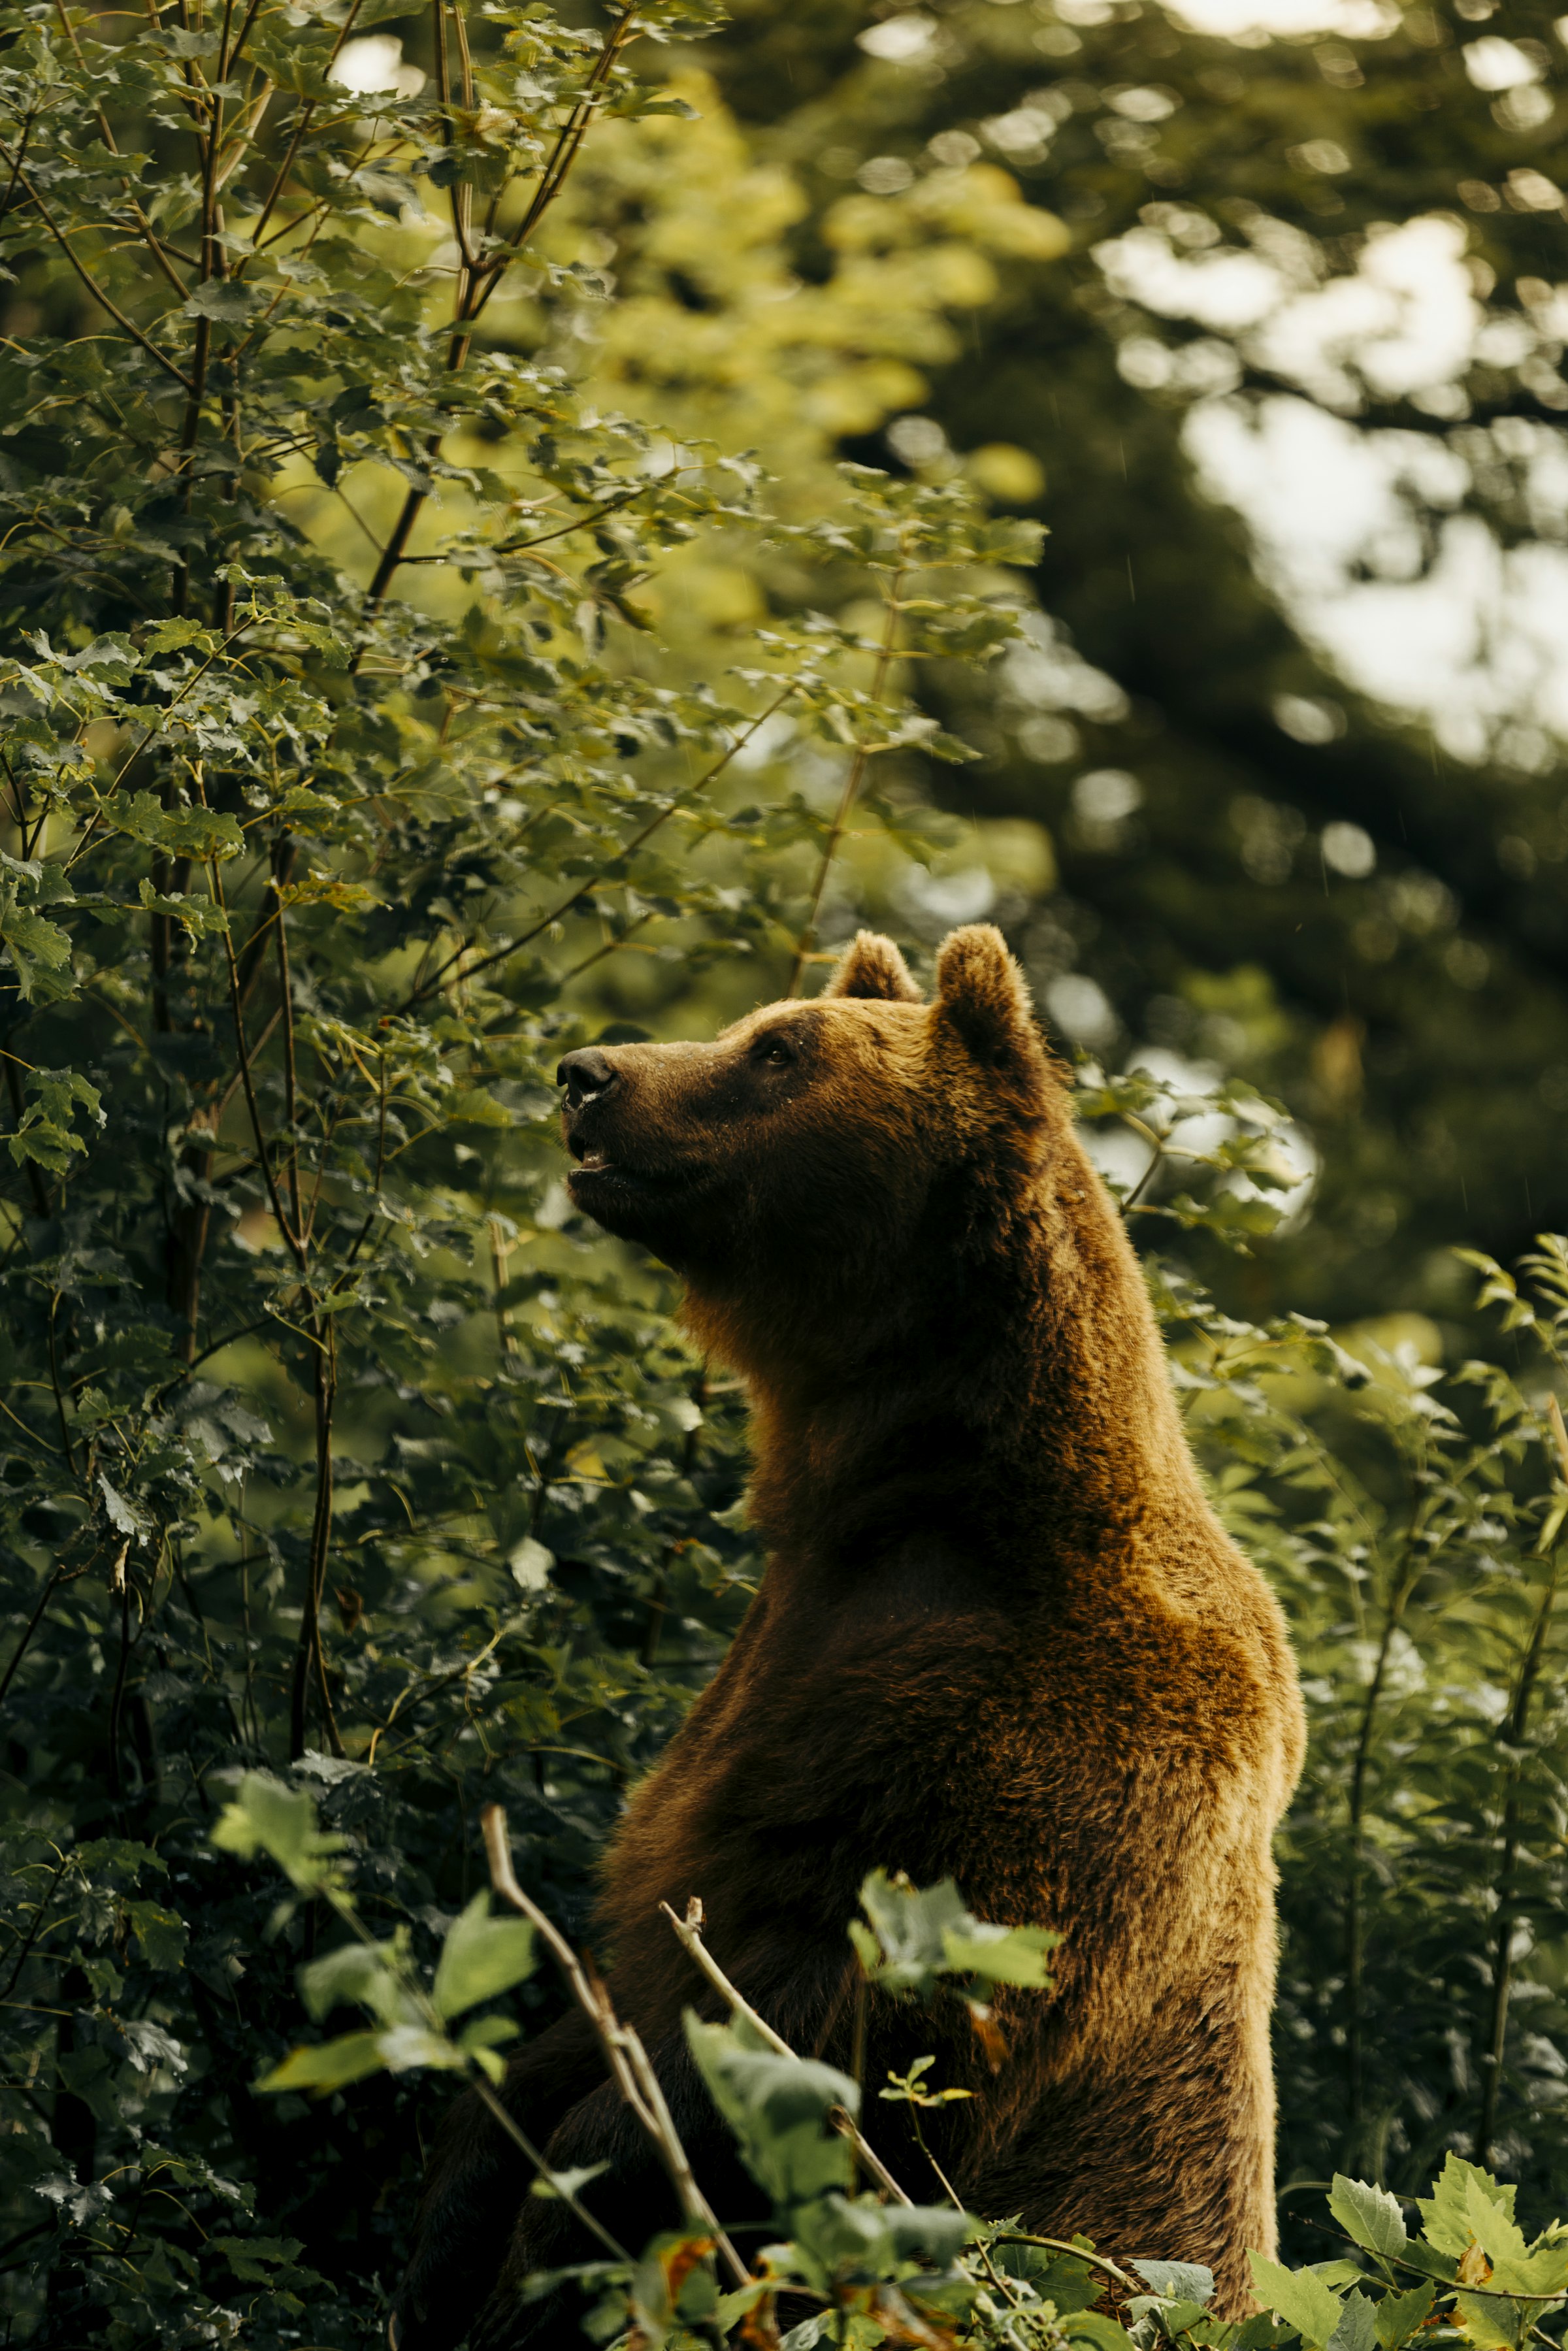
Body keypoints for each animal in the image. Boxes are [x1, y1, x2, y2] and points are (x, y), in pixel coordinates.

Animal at [393, 923, 1306, 2351]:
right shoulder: (768, 1687)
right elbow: (618, 1974)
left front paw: (557, 2221)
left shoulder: (1025, 1787)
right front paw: (460, 2212)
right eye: (754, 1021)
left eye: (780, 1049)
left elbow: (812, 2037)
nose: (587, 1071)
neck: (910, 1494)